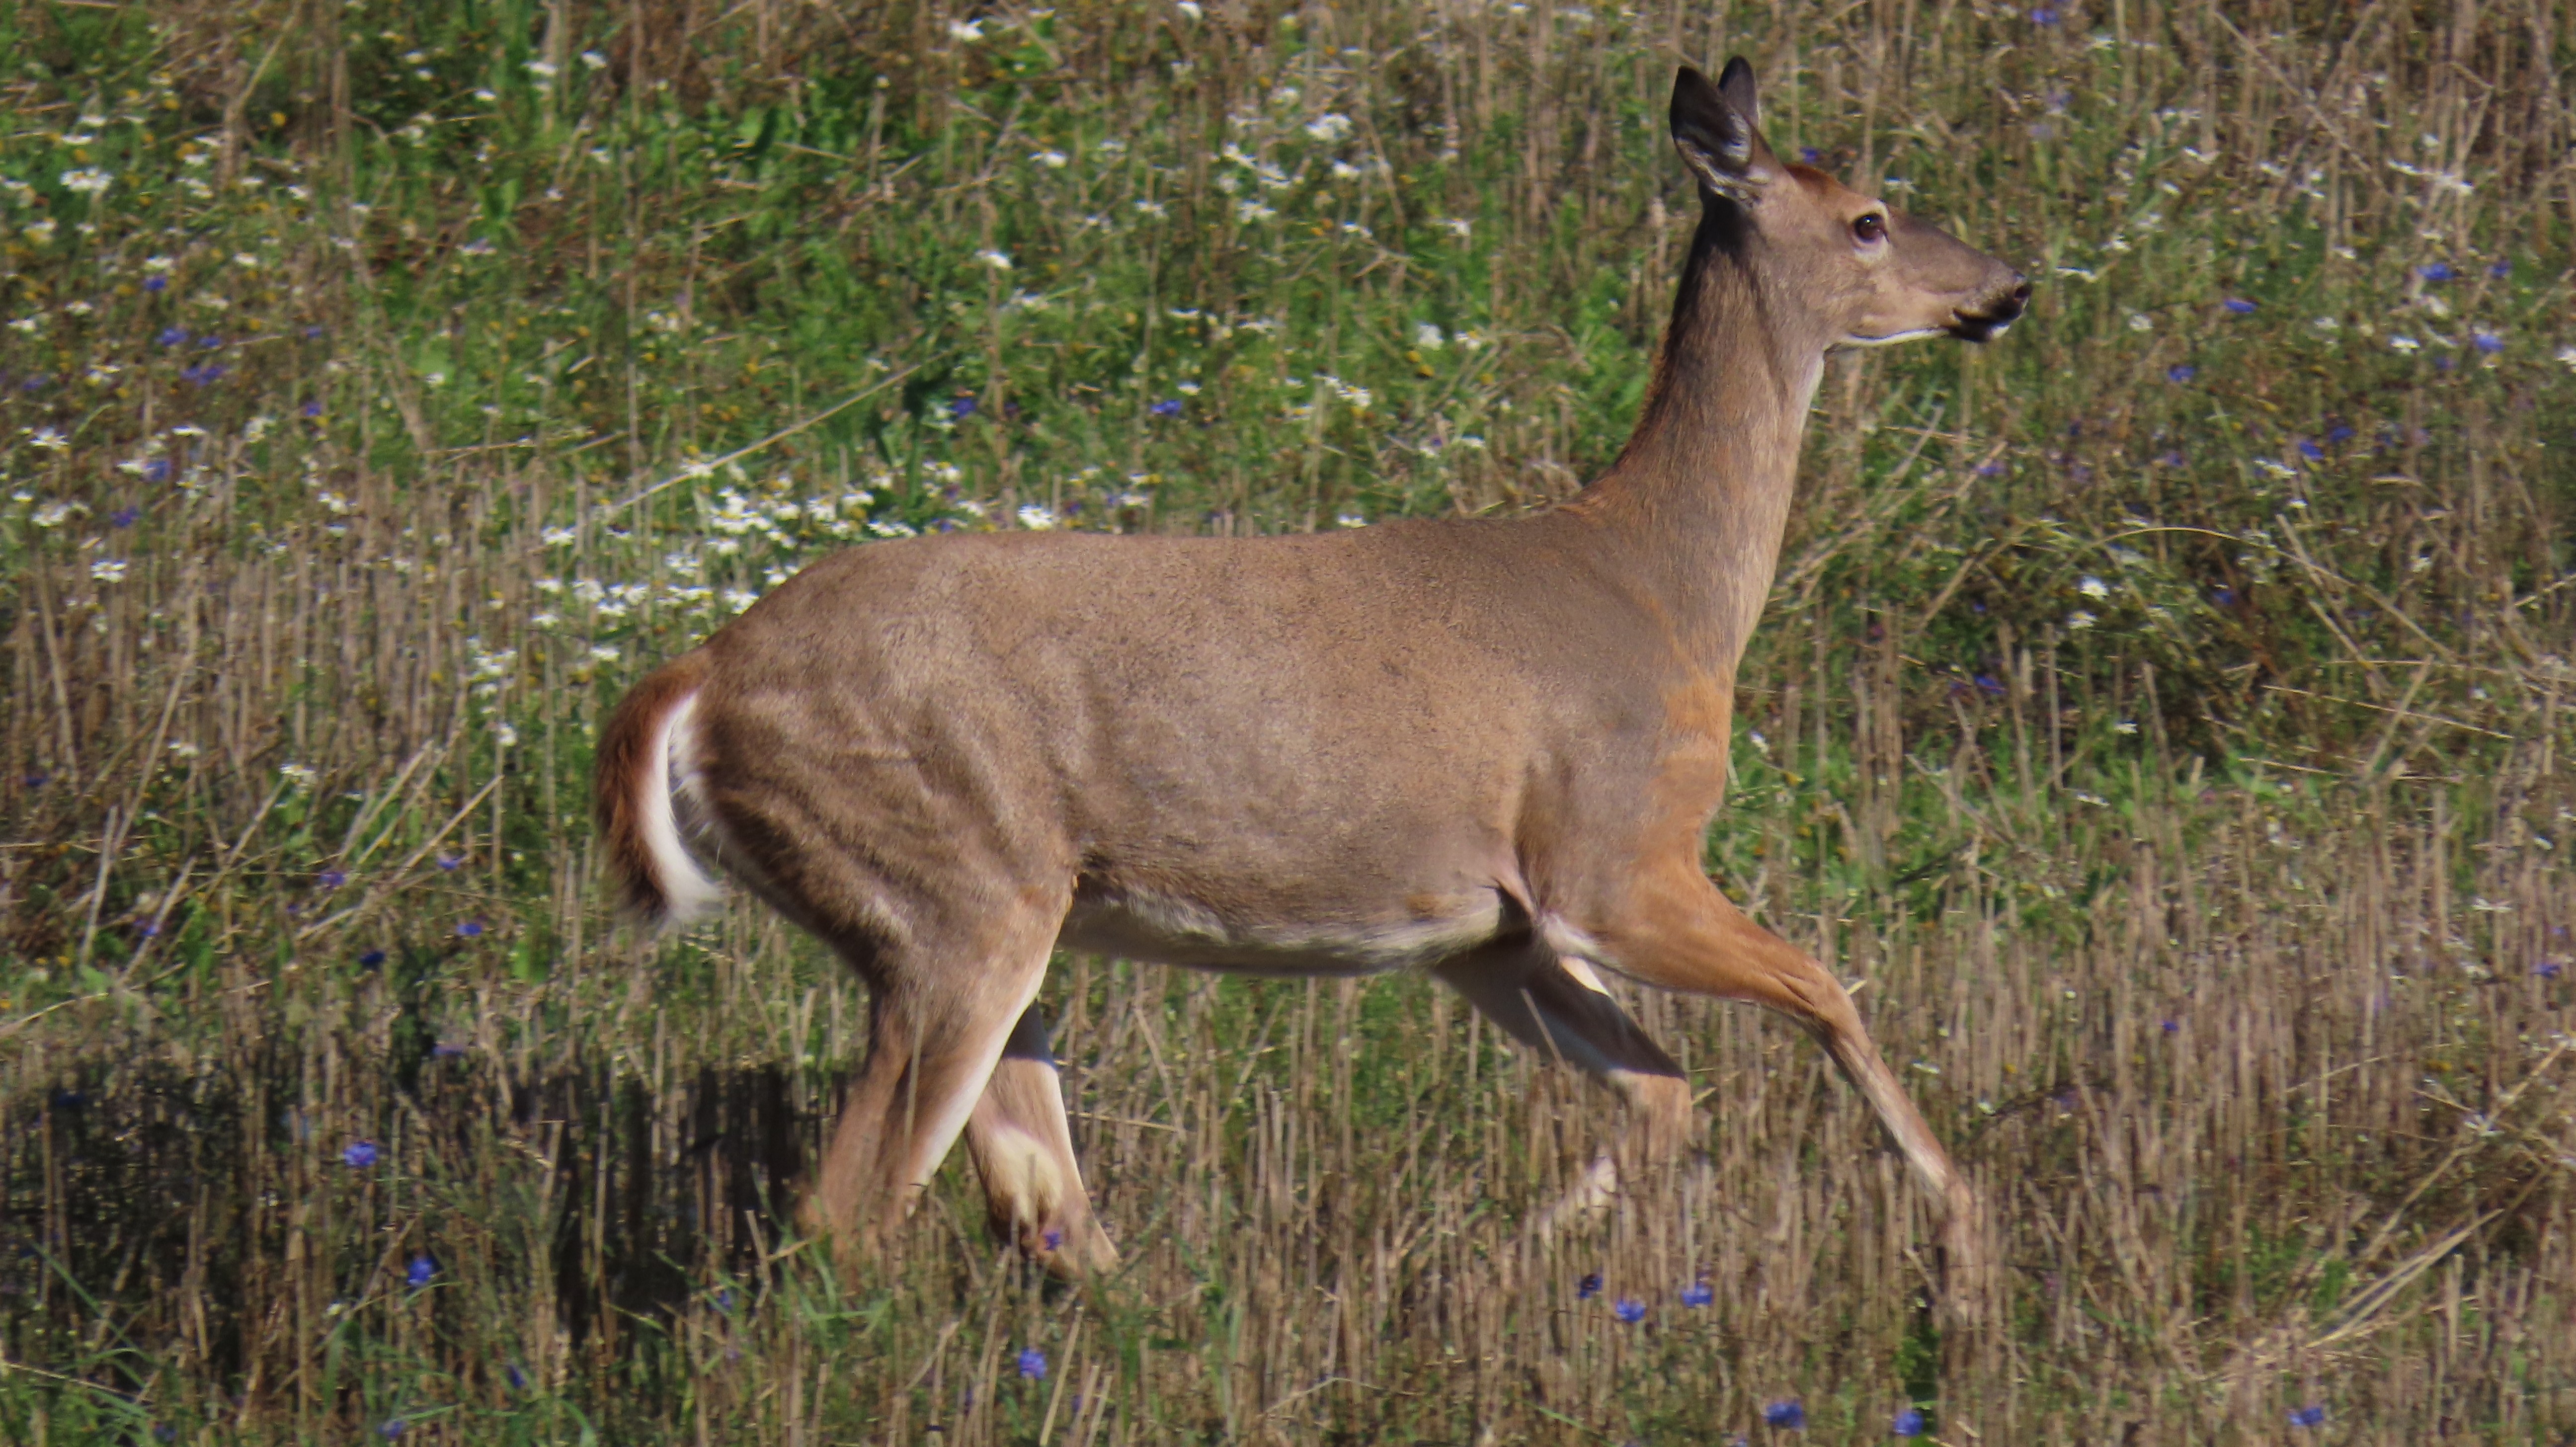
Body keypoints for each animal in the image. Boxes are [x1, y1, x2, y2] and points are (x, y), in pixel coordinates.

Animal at [596, 58, 2026, 1314]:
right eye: (1867, 216)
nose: (2008, 286)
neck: (1660, 590)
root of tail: (701, 677)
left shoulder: (1492, 932)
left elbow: (1661, 1092)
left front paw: (1469, 1280)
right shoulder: (1614, 855)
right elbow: (1829, 990)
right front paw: (1964, 1259)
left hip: (983, 921)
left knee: (1040, 1204)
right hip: (952, 894)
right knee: (855, 1207)